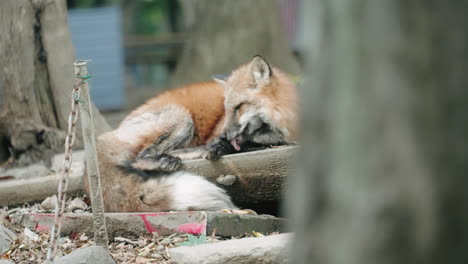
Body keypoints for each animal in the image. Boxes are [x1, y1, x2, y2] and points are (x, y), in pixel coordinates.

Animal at [83, 55, 296, 212]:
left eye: (238, 107)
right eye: (226, 109)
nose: (223, 136)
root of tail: (109, 134)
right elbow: (231, 146)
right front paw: (219, 148)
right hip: (182, 117)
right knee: (139, 157)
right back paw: (164, 161)